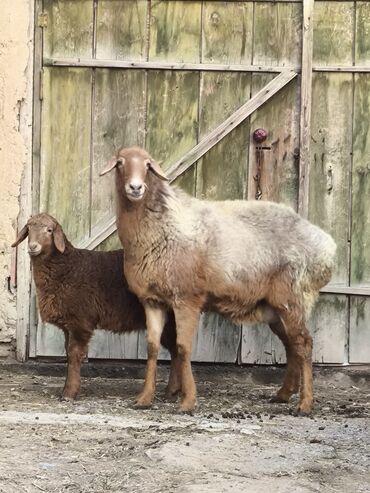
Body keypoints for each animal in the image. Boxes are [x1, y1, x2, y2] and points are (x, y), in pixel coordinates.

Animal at [12, 212, 177, 400]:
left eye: (49, 230)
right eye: (29, 228)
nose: (33, 246)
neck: (67, 267)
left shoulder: (81, 321)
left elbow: (75, 354)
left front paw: (69, 392)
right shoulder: (69, 325)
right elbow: (68, 353)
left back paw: (172, 391)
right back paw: (172, 391)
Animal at [99, 146, 336, 416]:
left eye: (148, 166)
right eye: (120, 163)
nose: (136, 188)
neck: (162, 223)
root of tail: (326, 246)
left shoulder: (187, 298)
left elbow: (183, 347)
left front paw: (188, 401)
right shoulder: (152, 300)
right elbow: (152, 348)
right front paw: (144, 398)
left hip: (293, 296)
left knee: (304, 344)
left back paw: (304, 403)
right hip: (274, 307)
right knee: (291, 345)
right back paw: (283, 394)